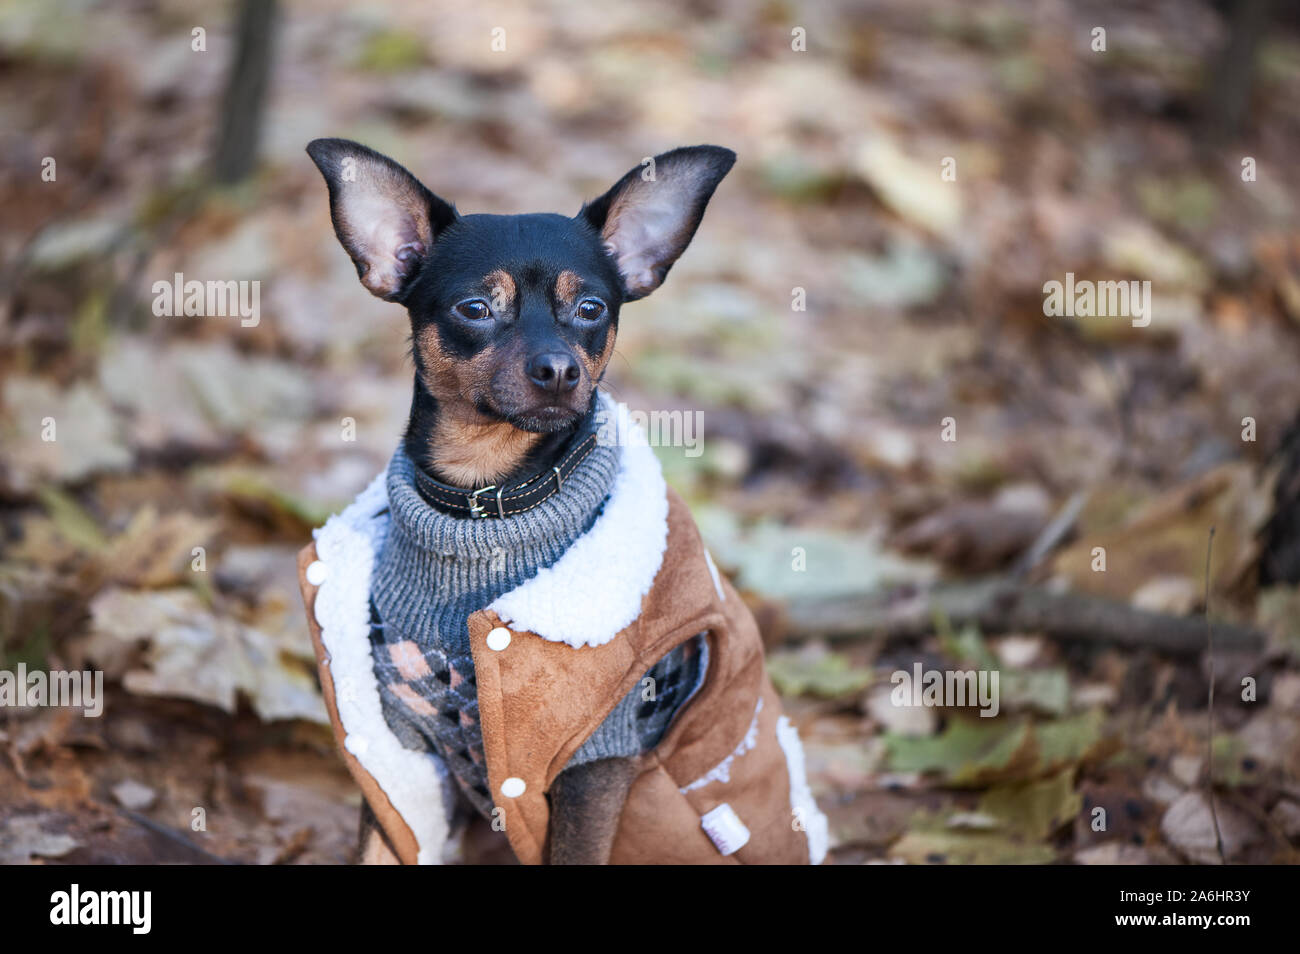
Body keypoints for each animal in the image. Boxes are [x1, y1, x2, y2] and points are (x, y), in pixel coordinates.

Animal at [296, 140, 826, 868]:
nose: (557, 370)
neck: (485, 500)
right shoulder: (400, 752)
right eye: (474, 309)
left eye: (592, 309)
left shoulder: (598, 759)